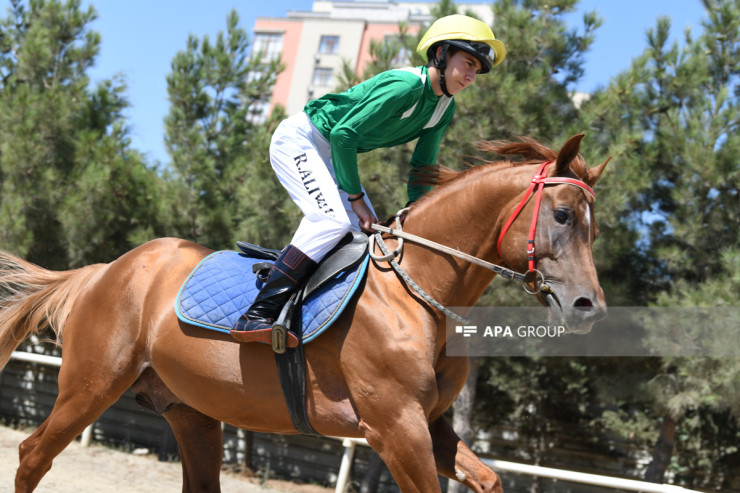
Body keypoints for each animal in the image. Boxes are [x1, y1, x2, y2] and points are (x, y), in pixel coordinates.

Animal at [1, 133, 608, 490]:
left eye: (593, 226)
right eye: (561, 214)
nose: (589, 307)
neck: (416, 294)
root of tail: (104, 270)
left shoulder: (429, 424)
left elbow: (488, 479)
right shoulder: (396, 428)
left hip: (191, 411)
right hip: (91, 385)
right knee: (33, 453)